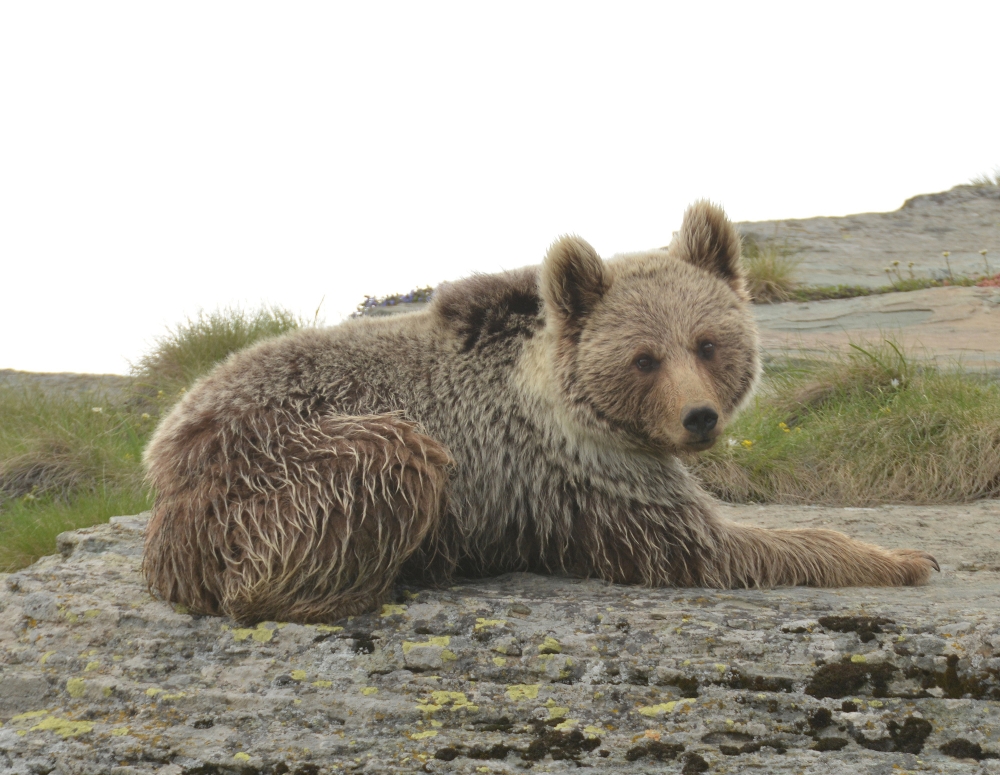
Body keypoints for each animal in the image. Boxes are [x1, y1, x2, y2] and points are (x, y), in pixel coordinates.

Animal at [141, 202, 936, 624]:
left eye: (708, 343)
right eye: (644, 357)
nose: (700, 418)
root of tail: (165, 456)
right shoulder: (578, 475)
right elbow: (710, 546)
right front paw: (900, 557)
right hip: (278, 470)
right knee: (381, 464)